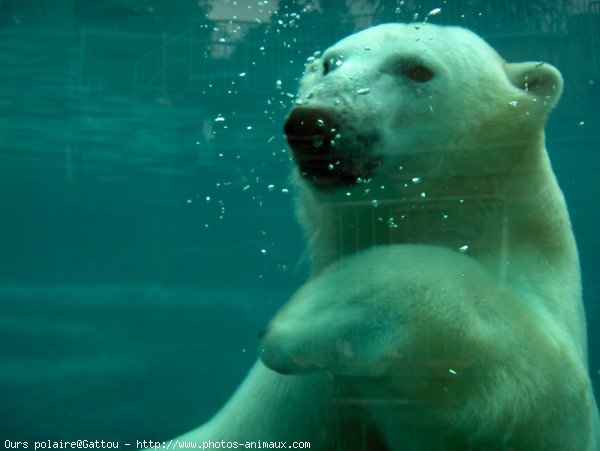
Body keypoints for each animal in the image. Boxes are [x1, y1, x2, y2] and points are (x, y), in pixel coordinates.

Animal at [179, 24, 600, 451]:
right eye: (329, 63)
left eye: (416, 69)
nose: (313, 122)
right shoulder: (283, 411)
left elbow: (548, 391)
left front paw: (314, 313)